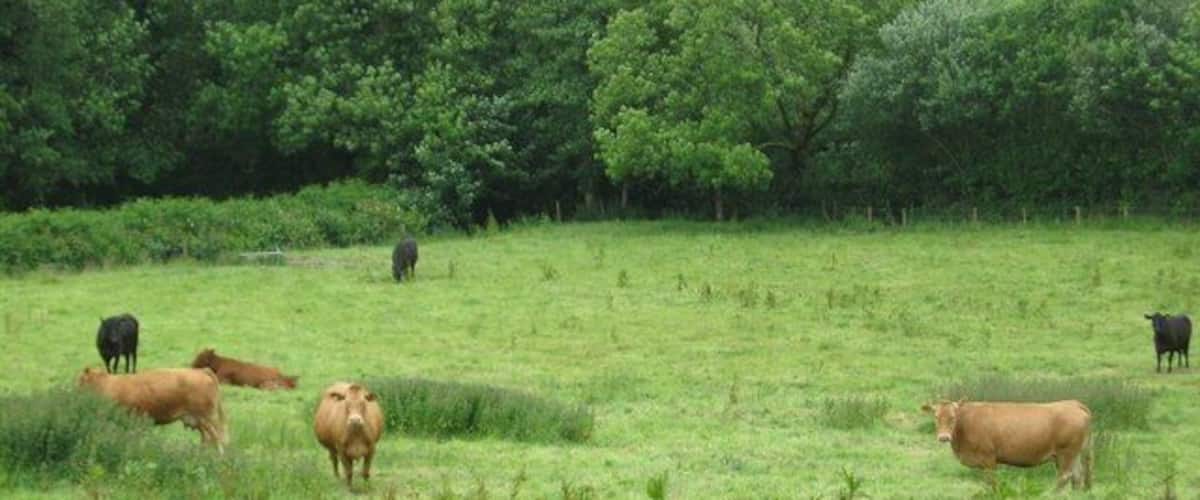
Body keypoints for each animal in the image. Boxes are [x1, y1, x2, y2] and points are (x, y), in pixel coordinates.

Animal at [77, 366, 228, 453]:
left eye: (80, 382)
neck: (106, 385)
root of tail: (201, 371)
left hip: (207, 418)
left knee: (218, 438)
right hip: (199, 421)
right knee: (208, 439)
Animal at [921, 399, 1092, 491]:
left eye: (953, 417)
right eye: (936, 417)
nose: (944, 437)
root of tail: (1073, 403)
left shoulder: (988, 459)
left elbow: (992, 483)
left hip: (1066, 454)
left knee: (1064, 477)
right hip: (1074, 455)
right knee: (1077, 477)